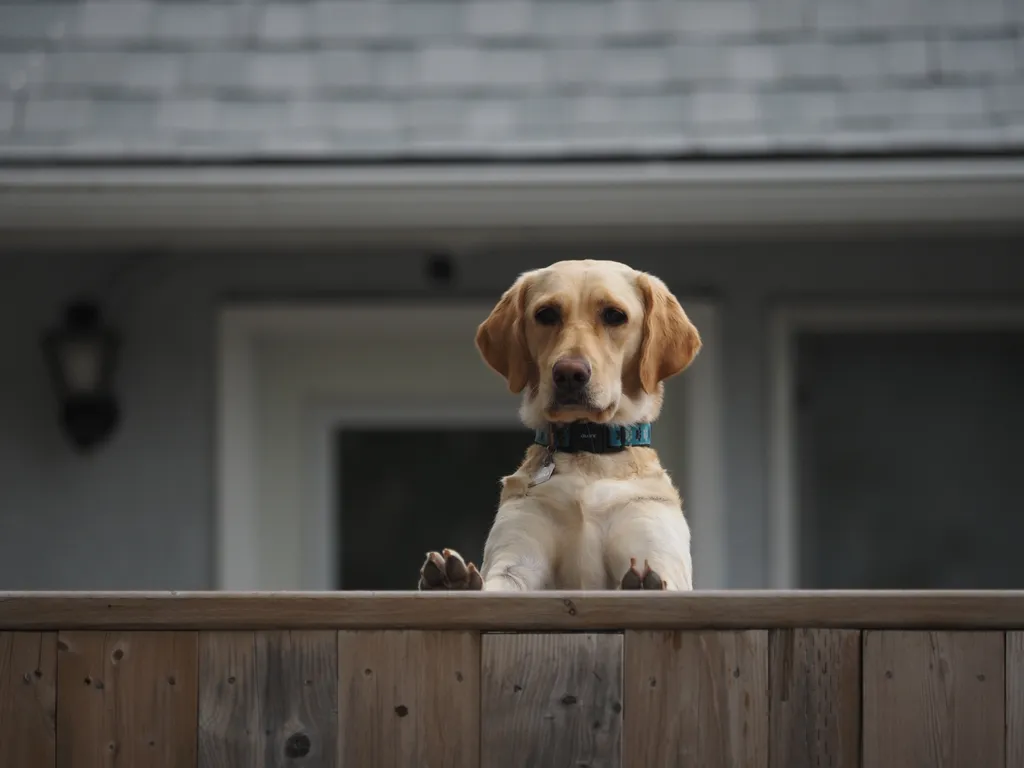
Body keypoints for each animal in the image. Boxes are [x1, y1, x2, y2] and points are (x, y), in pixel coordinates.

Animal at [419, 262, 700, 593]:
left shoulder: (654, 550)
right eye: (547, 314)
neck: (587, 451)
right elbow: (498, 581)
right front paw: (454, 582)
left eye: (614, 315)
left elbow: (661, 579)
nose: (569, 373)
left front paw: (644, 586)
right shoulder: (517, 559)